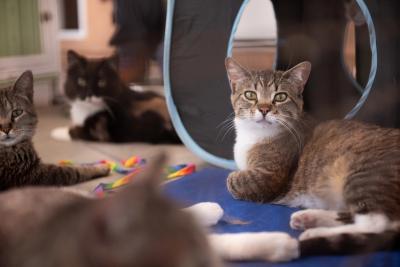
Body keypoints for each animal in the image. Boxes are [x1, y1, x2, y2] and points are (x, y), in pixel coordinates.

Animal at [52, 51, 180, 146]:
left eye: (102, 82)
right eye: (81, 81)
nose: (89, 94)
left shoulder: (106, 132)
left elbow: (77, 131)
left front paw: (57, 131)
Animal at [225, 58, 400, 258]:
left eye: (280, 97)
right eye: (250, 94)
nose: (264, 109)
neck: (254, 136)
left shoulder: (267, 178)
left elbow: (232, 180)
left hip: (365, 176)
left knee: (378, 224)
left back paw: (314, 233)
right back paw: (309, 218)